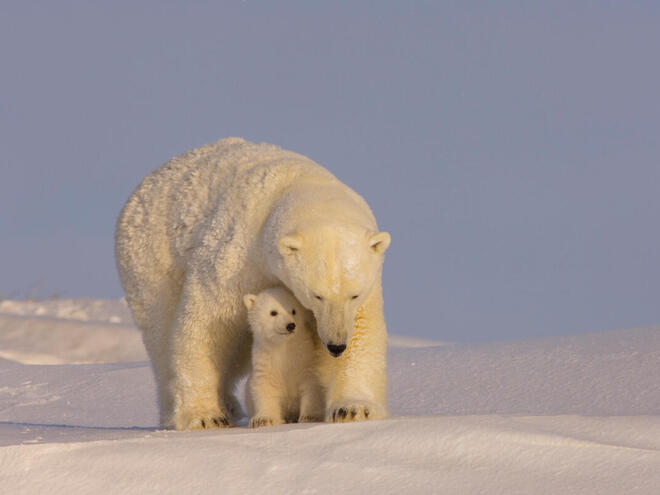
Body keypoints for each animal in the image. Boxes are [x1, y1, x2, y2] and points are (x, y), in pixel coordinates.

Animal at [116, 137, 390, 430]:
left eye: (354, 295)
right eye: (316, 295)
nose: (336, 345)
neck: (297, 183)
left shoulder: (368, 281)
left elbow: (362, 329)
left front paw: (353, 408)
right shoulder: (237, 255)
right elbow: (208, 321)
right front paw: (205, 416)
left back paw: (230, 404)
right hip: (151, 259)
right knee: (162, 332)